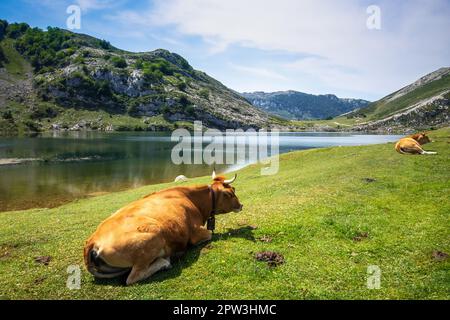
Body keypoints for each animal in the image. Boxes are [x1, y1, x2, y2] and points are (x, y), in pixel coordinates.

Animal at [84, 171, 243, 286]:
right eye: (229, 193)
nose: (241, 205)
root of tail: (93, 240)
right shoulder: (196, 232)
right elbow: (209, 233)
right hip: (153, 237)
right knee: (133, 277)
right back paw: (164, 262)